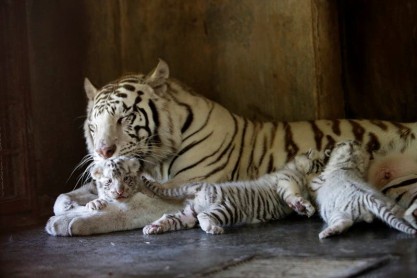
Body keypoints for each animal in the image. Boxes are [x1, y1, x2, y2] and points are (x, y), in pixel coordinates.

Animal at [45, 59, 416, 236]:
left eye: (124, 118)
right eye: (94, 125)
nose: (103, 152)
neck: (156, 161)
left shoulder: (186, 187)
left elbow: (128, 207)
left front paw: (68, 221)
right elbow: (73, 193)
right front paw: (71, 204)